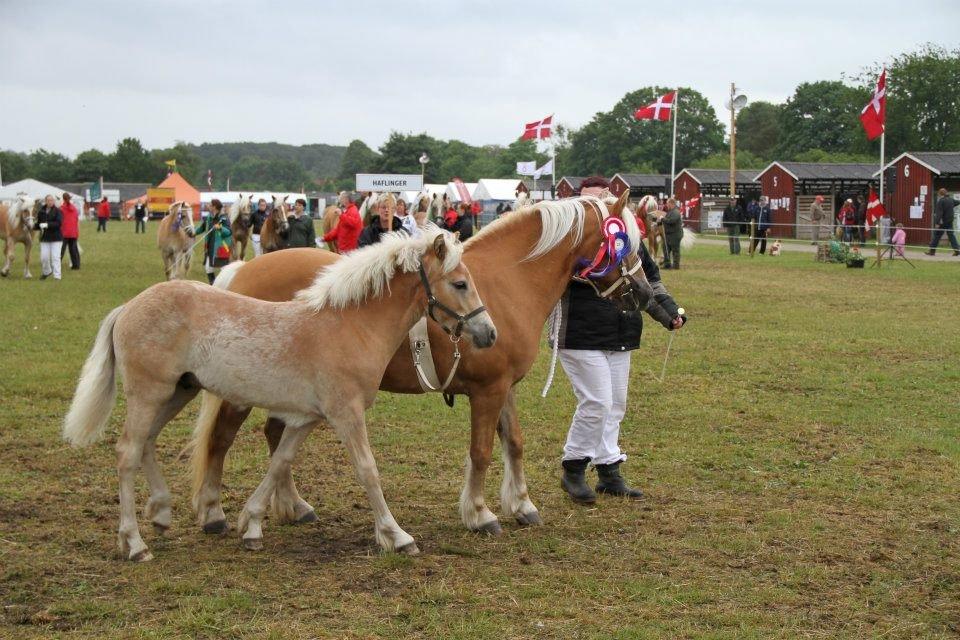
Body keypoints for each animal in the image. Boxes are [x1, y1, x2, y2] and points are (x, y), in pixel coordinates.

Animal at [65, 226, 496, 560]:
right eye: (460, 283)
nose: (489, 334)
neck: (349, 326)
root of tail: (128, 307)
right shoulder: (346, 413)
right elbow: (367, 470)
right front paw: (397, 536)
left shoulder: (306, 418)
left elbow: (280, 463)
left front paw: (252, 525)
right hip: (149, 393)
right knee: (127, 452)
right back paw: (135, 543)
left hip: (177, 392)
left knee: (148, 443)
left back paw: (161, 512)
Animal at [188, 192, 652, 536]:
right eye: (624, 241)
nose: (644, 294)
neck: (506, 282)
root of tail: (241, 272)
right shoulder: (487, 391)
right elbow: (482, 451)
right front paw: (480, 513)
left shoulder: (504, 387)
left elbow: (514, 443)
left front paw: (522, 505)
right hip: (244, 391)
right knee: (222, 439)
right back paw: (214, 513)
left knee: (273, 433)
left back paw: (293, 505)